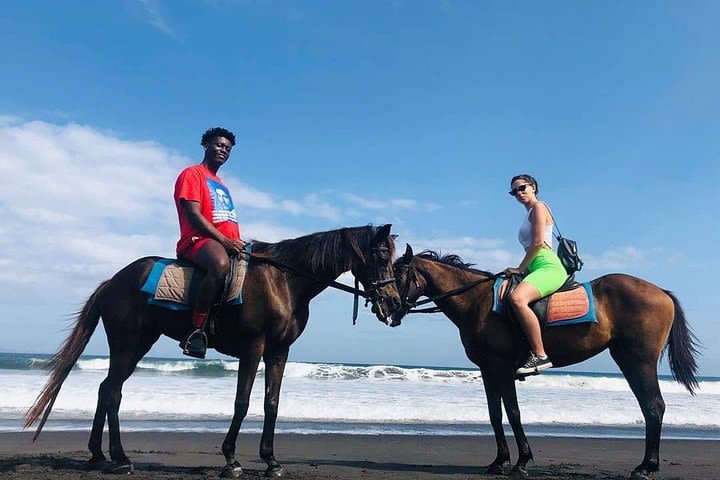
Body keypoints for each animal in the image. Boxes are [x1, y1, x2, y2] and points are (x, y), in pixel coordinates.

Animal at [26, 224, 400, 476]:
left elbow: (272, 404)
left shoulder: (279, 352)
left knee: (106, 389)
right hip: (127, 344)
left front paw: (271, 461)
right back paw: (120, 458)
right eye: (381, 256)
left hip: (138, 344)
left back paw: (99, 456)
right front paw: (230, 459)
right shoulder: (253, 347)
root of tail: (111, 283)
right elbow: (242, 403)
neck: (283, 281)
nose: (395, 303)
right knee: (113, 392)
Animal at [388, 246, 696, 478]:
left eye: (398, 273)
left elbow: (513, 412)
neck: (477, 301)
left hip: (637, 361)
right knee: (650, 407)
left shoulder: (501, 368)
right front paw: (499, 462)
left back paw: (647, 467)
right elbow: (495, 414)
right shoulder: (488, 370)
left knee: (653, 406)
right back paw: (646, 464)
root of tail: (662, 292)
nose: (387, 305)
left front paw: (521, 461)